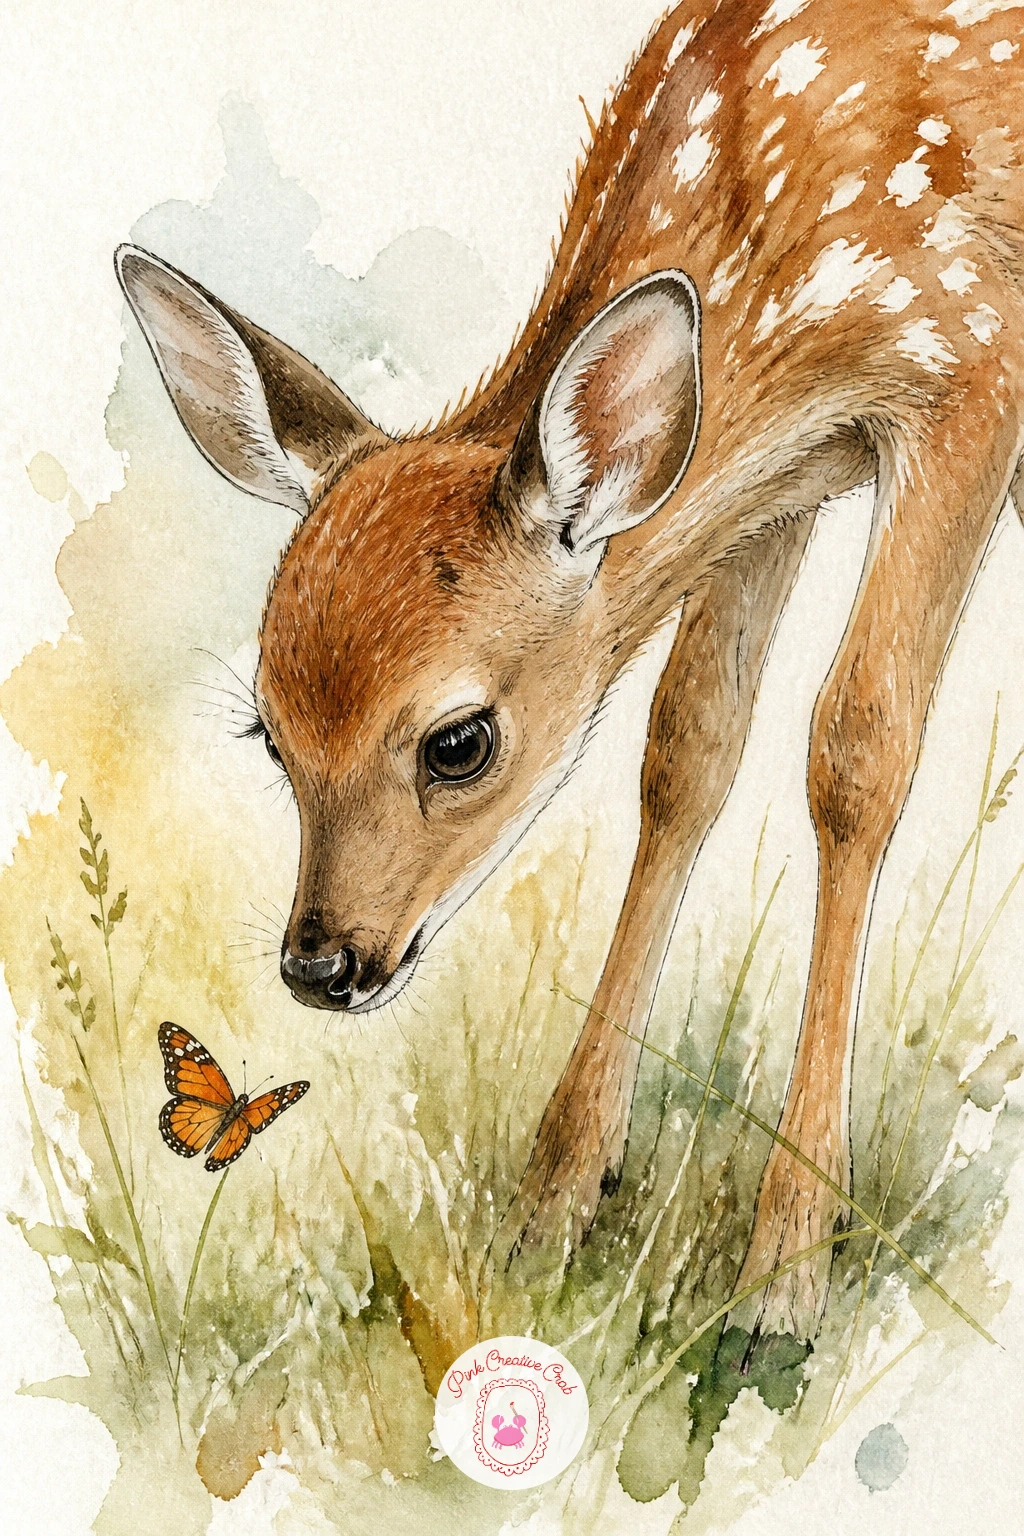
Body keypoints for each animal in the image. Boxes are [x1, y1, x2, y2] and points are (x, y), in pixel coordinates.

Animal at [115, 0, 1024, 1340]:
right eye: (268, 736)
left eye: (457, 741)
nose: (321, 963)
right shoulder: (785, 472)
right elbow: (688, 746)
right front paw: (555, 1201)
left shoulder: (970, 365)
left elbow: (856, 748)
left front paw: (782, 1279)